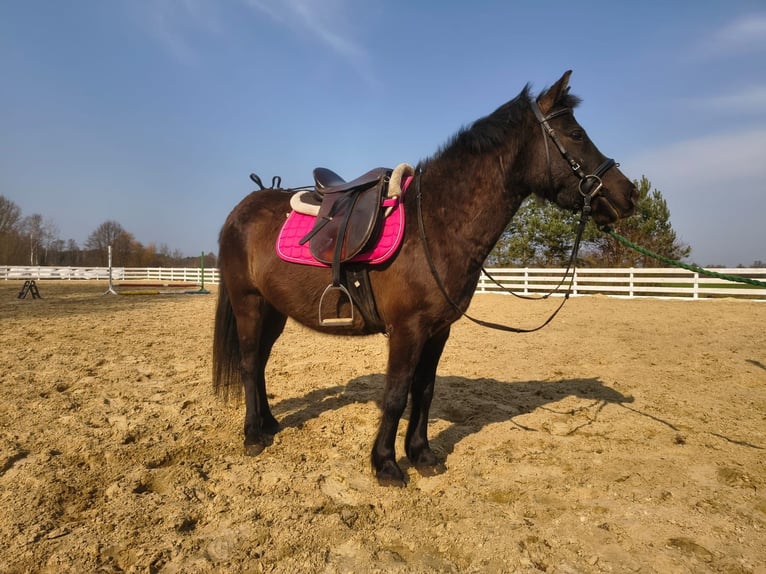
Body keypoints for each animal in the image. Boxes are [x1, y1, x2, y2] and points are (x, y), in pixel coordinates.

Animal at [213, 71, 638, 486]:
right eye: (577, 134)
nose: (630, 194)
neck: (434, 224)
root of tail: (240, 211)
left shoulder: (437, 330)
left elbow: (425, 390)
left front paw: (422, 455)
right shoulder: (407, 329)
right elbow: (396, 394)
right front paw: (386, 465)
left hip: (274, 310)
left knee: (261, 362)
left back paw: (270, 424)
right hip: (248, 303)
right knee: (249, 363)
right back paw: (253, 435)